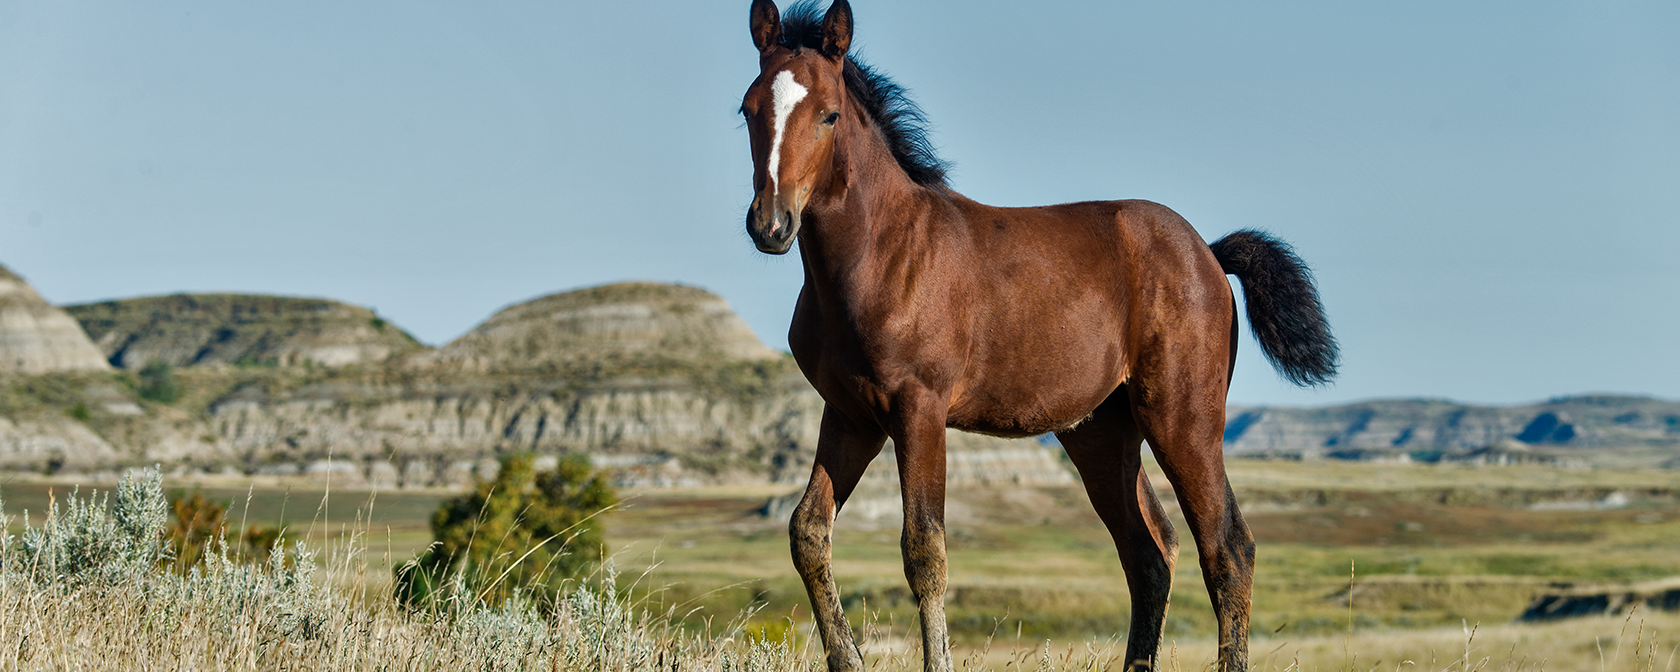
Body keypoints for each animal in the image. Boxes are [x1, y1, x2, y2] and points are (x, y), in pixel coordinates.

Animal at [739, 2, 1337, 668]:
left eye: (829, 114)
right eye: (748, 108)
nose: (771, 224)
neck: (879, 254)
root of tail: (1207, 252)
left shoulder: (918, 411)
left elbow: (925, 551)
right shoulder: (851, 416)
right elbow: (808, 533)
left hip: (1183, 416)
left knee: (1228, 548)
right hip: (1102, 431)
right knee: (1150, 553)